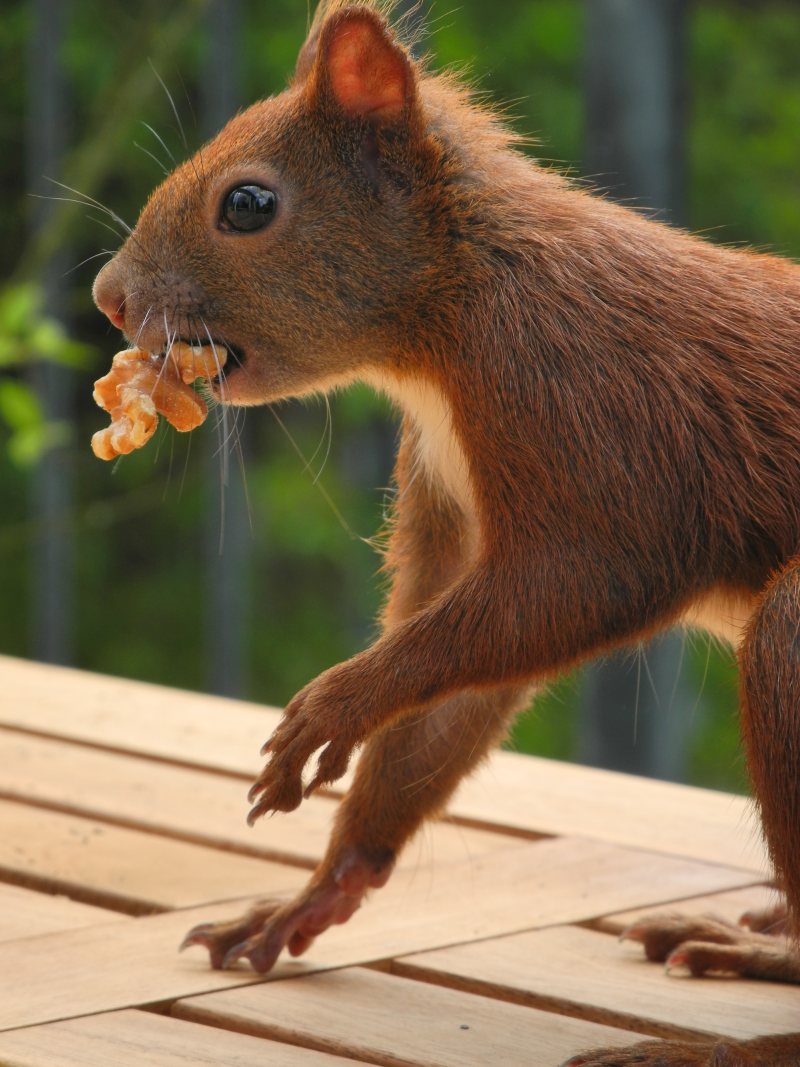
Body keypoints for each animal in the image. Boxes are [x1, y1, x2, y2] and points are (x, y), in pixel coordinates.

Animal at [90, 4, 800, 1062]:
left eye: (248, 204)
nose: (109, 297)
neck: (459, 297)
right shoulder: (449, 502)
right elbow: (445, 703)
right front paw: (314, 891)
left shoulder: (597, 432)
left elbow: (569, 590)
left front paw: (331, 708)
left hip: (788, 638)